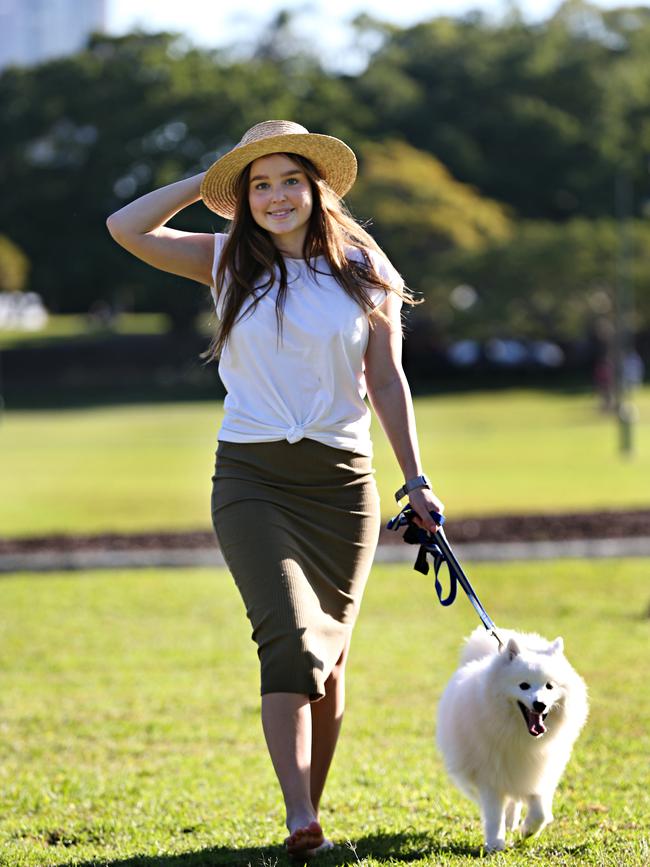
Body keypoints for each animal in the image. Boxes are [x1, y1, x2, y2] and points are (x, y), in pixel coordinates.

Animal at [436, 628, 588, 852]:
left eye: (549, 686)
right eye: (523, 686)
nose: (540, 704)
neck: (521, 737)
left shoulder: (539, 770)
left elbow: (541, 811)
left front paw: (528, 830)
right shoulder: (490, 776)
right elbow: (493, 815)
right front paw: (495, 844)